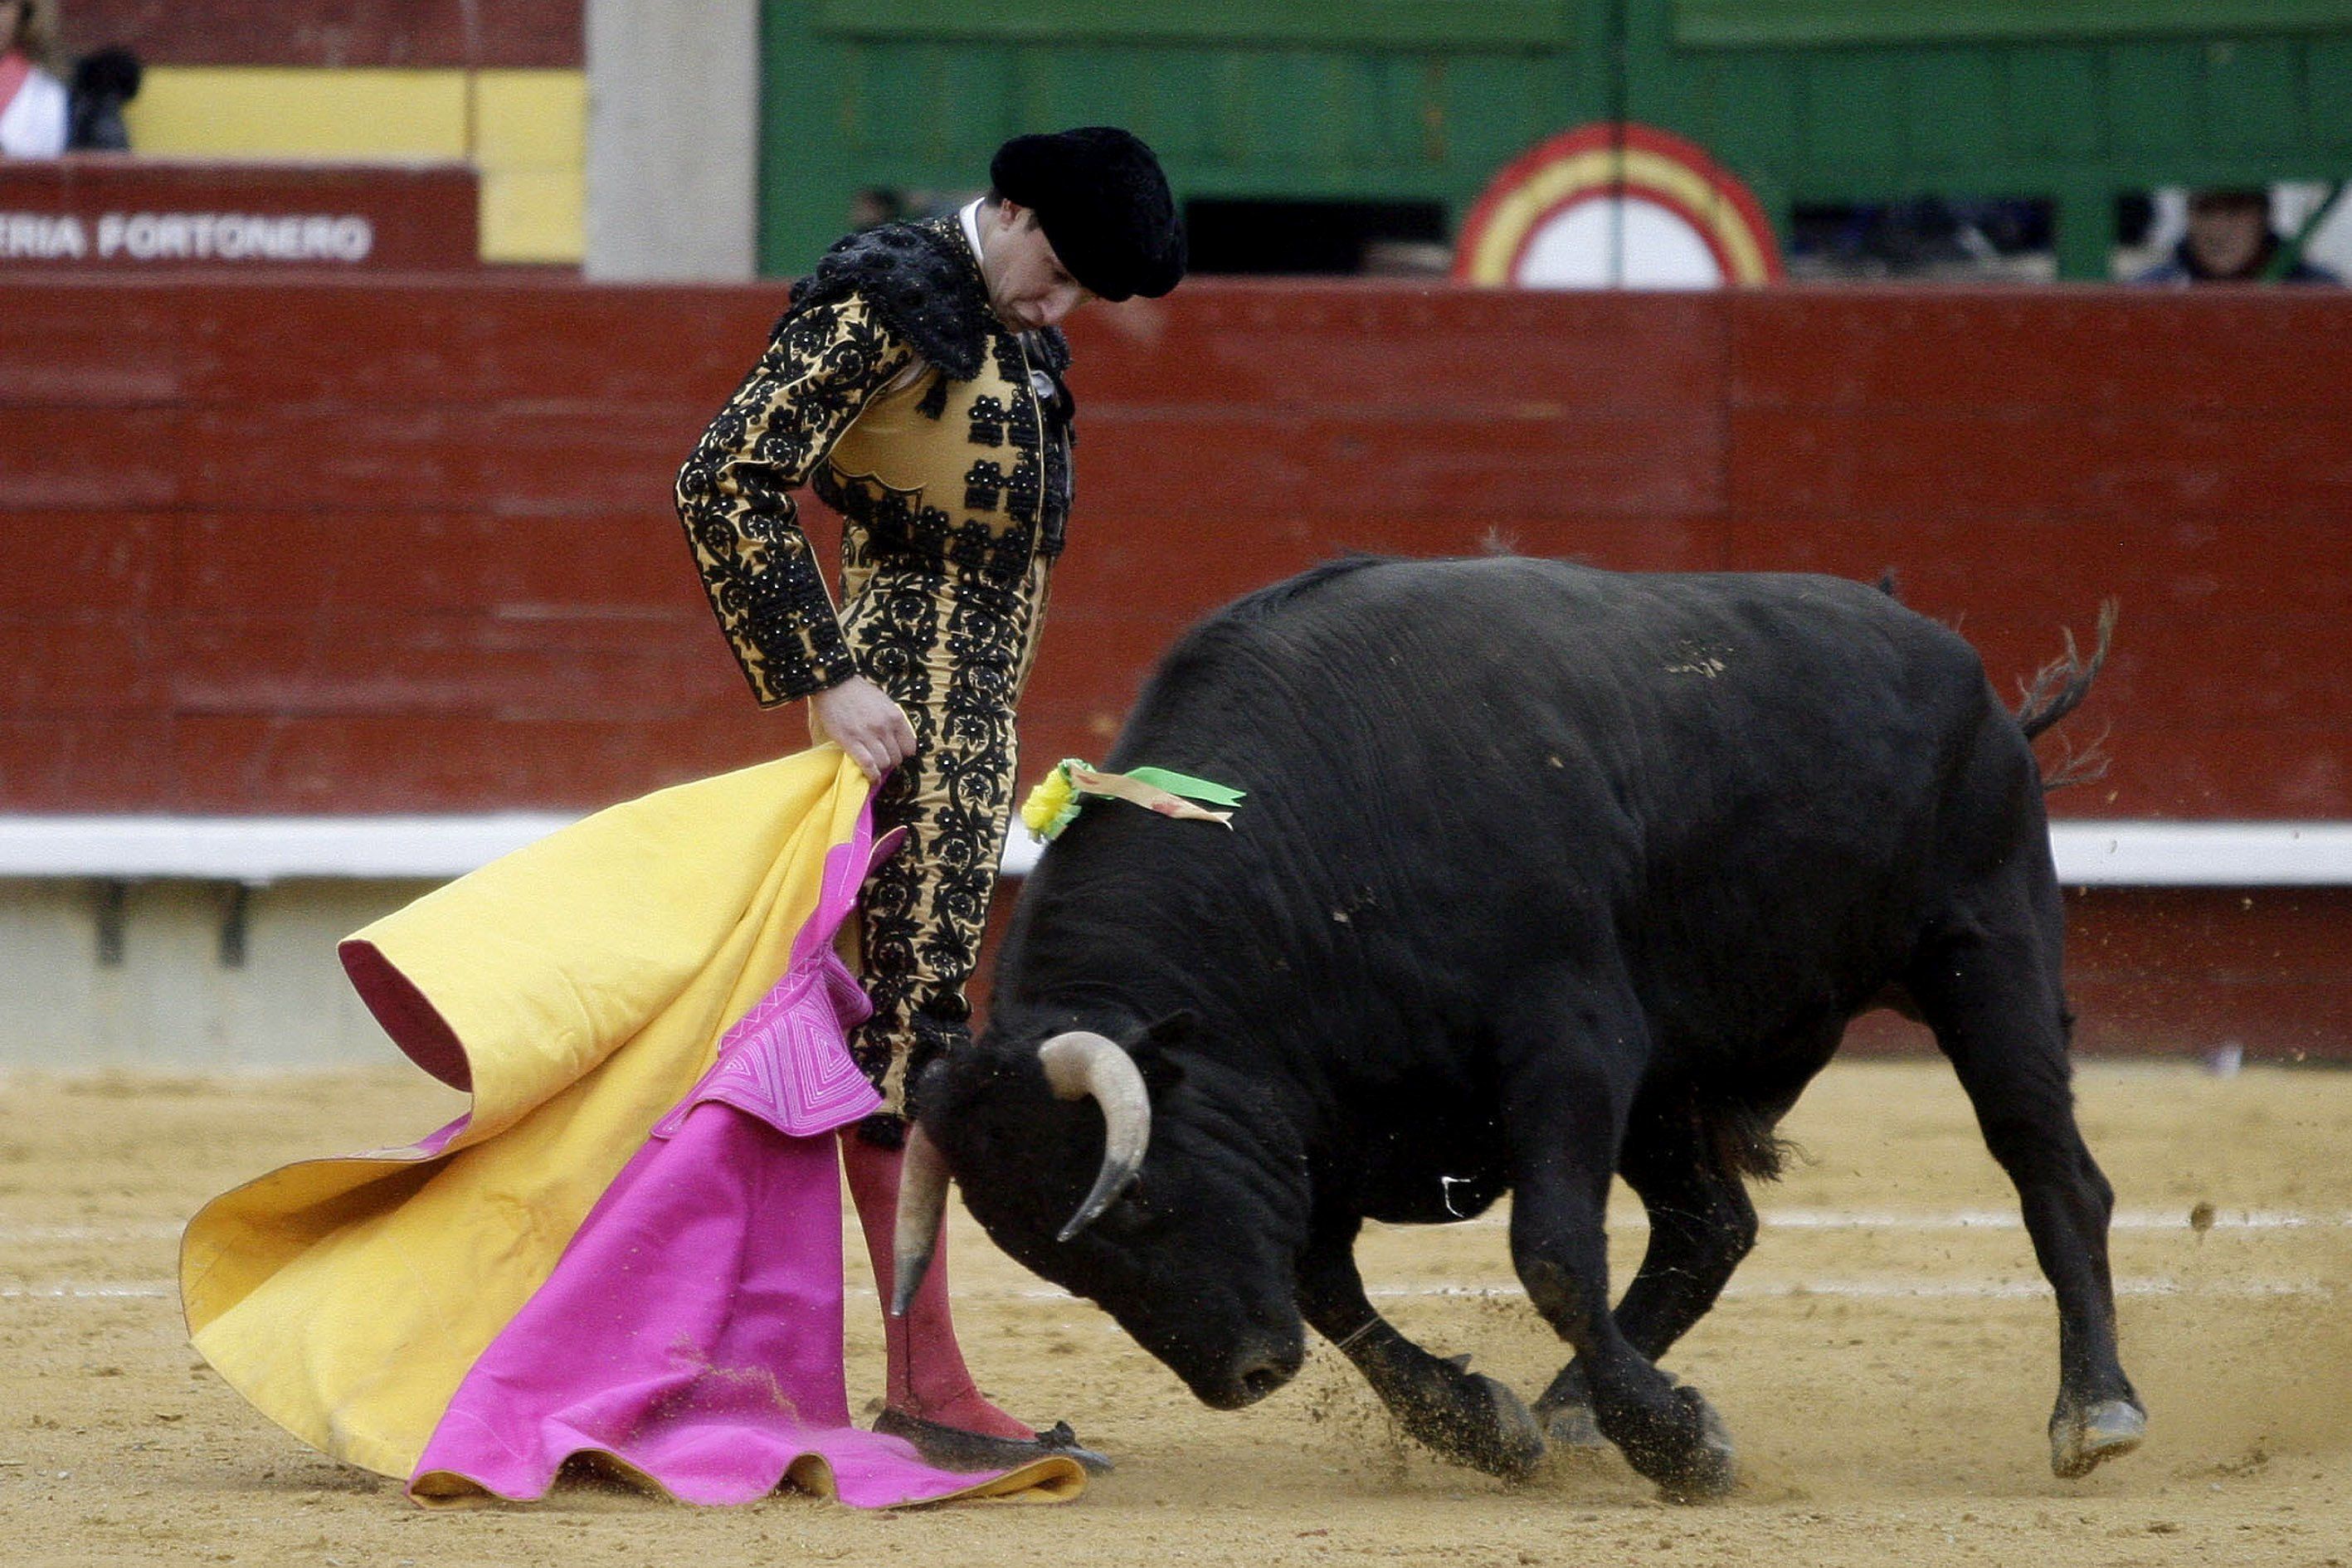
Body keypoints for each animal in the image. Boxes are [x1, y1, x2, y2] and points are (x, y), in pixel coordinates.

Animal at [889, 562, 2145, 1495]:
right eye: (1059, 1265)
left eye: (1138, 1199)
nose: (1244, 1376)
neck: (1325, 844)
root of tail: (1957, 663)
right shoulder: (1323, 1121)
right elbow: (1326, 1284)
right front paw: (1493, 1424)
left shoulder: (1572, 1040)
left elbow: (1548, 1251)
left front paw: (1678, 1449)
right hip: (1675, 1082)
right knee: (1709, 1229)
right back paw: (1577, 1410)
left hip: (1986, 954)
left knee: (2054, 1174)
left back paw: (2095, 1409)